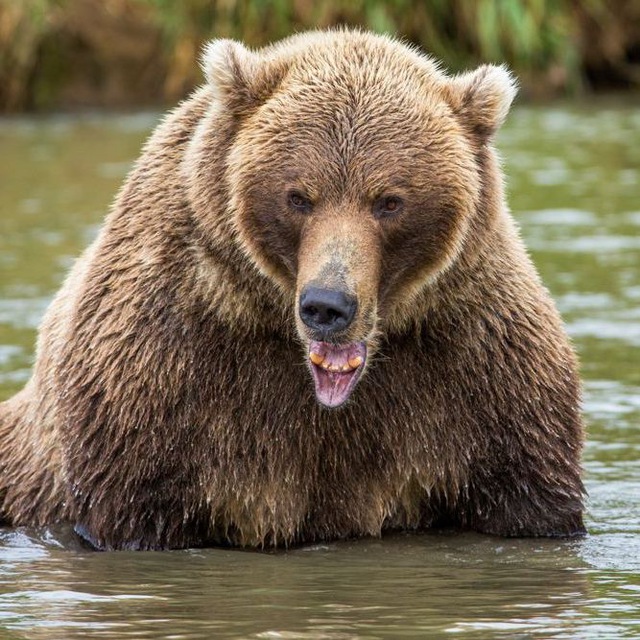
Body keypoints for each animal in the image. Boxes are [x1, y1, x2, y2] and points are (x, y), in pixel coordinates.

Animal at [0, 28, 584, 552]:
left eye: (389, 201)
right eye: (299, 196)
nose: (328, 305)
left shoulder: (479, 363)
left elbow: (526, 493)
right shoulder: (159, 372)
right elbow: (137, 500)